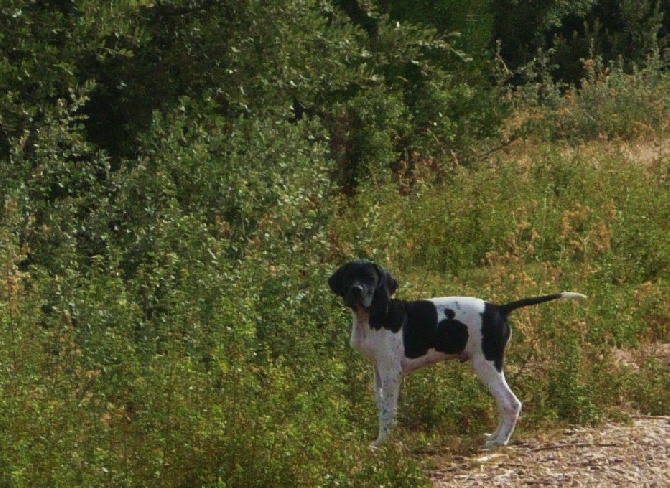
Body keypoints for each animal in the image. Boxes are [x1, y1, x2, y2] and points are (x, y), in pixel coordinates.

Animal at [330, 262, 588, 448]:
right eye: (350, 277)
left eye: (370, 279)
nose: (356, 290)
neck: (373, 316)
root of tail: (499, 309)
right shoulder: (378, 372)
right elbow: (381, 407)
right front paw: (382, 440)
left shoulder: (392, 373)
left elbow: (388, 411)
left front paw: (383, 444)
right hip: (486, 366)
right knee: (502, 403)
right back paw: (494, 435)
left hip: (486, 364)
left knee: (510, 403)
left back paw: (500, 441)